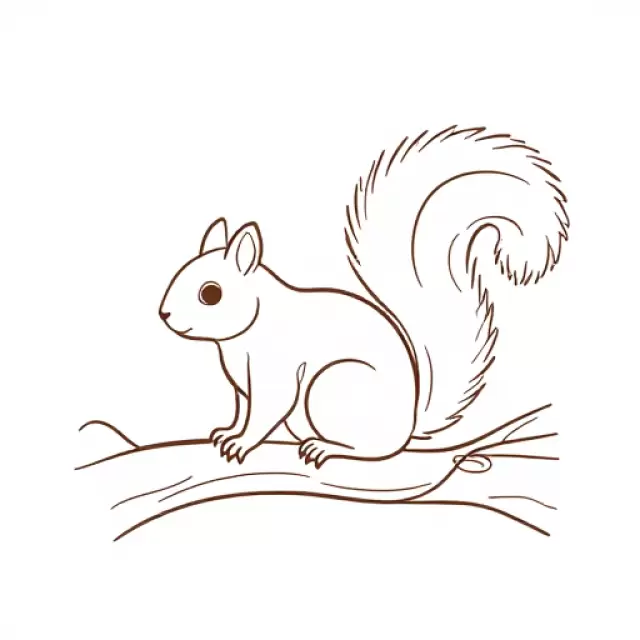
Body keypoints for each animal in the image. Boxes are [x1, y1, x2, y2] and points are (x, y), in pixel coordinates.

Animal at [159, 125, 569, 468]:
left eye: (211, 293)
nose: (164, 315)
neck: (245, 332)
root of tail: (407, 429)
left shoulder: (276, 371)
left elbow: (267, 411)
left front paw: (242, 444)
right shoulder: (243, 388)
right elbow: (242, 411)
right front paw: (228, 432)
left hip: (334, 387)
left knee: (372, 450)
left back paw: (326, 448)